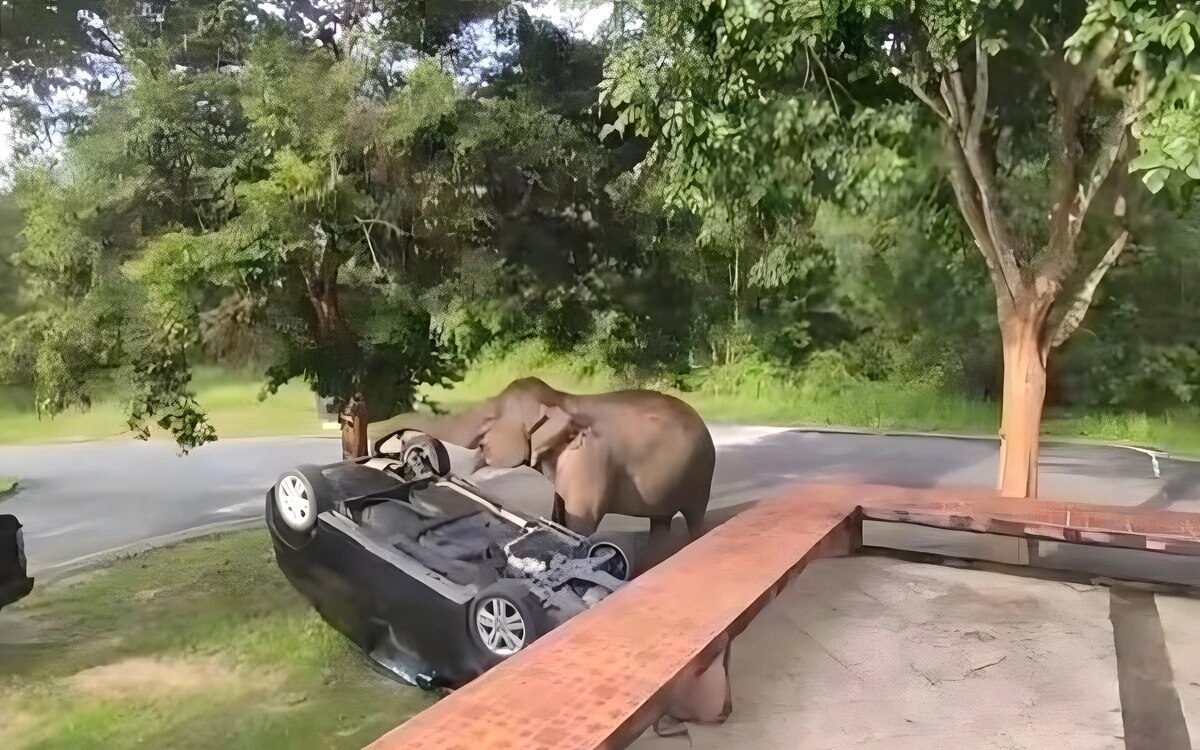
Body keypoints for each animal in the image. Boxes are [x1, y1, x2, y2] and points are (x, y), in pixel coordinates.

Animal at [398, 376, 715, 540]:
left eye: (488, 421)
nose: (415, 448)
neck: (560, 398)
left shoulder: (588, 463)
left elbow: (580, 527)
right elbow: (558, 517)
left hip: (701, 478)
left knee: (694, 517)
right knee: (660, 520)